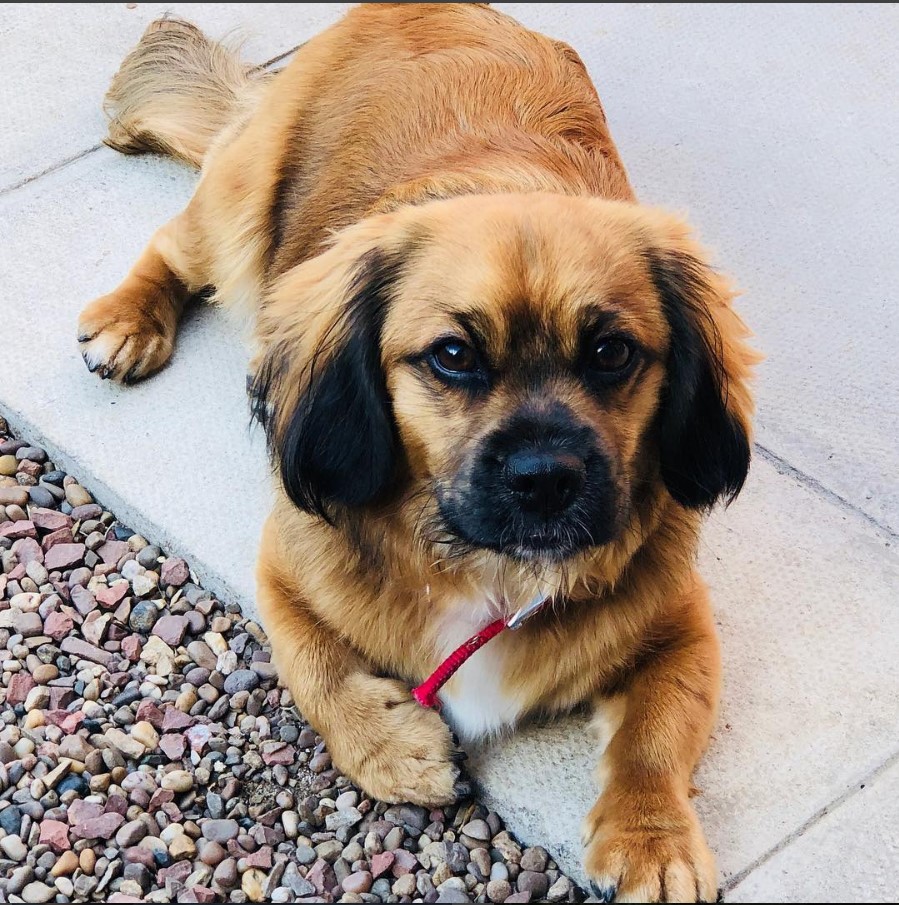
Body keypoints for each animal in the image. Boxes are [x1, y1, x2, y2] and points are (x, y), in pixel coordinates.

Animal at [77, 5, 756, 896]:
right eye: (453, 355)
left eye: (612, 353)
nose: (546, 477)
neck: (488, 568)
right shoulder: (282, 569)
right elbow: (311, 665)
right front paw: (393, 747)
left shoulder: (680, 623)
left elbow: (654, 736)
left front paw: (654, 841)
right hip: (238, 207)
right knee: (174, 245)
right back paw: (127, 320)